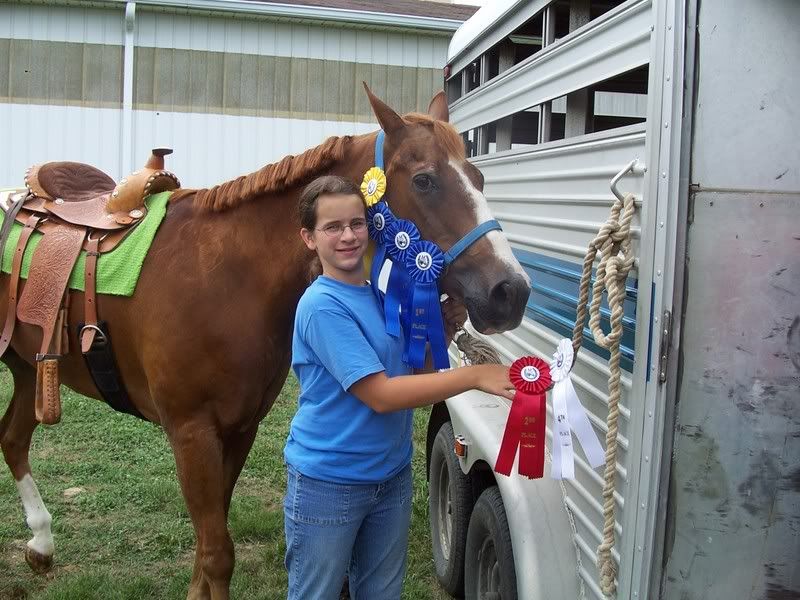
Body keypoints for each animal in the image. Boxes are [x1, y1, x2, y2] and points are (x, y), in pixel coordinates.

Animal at [0, 85, 532, 600]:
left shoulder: (239, 430)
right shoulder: (192, 434)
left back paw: (41, 545)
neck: (225, 280)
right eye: (424, 181)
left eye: (479, 178)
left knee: (13, 439)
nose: (510, 291)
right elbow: (217, 554)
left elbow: (207, 548)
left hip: (29, 369)